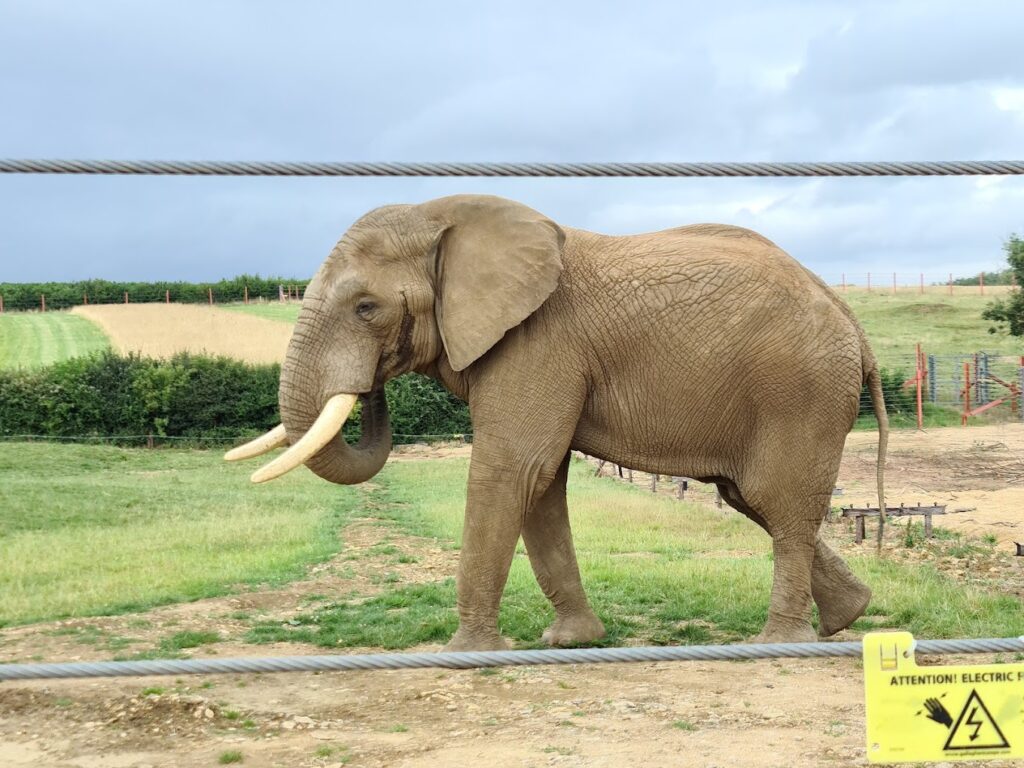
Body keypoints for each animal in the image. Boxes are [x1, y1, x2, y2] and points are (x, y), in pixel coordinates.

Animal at [226, 194, 888, 652]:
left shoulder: (538, 342)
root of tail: (853, 323)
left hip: (800, 392)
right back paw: (849, 617)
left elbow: (513, 469)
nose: (371, 386)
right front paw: (571, 642)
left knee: (780, 503)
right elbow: (541, 485)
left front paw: (468, 652)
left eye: (367, 308)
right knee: (750, 497)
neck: (445, 217)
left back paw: (779, 643)